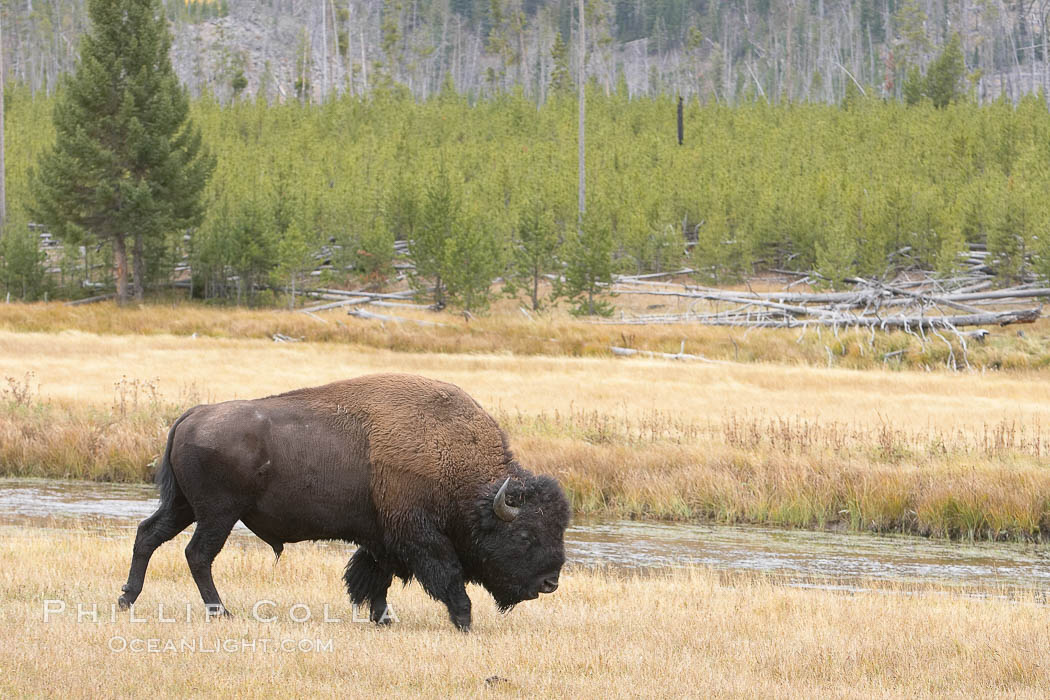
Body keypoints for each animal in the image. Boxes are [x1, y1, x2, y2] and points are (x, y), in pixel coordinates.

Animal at [118, 375, 571, 633]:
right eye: (525, 535)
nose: (550, 582)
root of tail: (193, 414)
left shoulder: (383, 537)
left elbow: (375, 577)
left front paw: (382, 618)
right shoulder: (419, 537)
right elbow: (447, 576)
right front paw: (464, 621)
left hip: (184, 507)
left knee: (148, 535)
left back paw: (127, 599)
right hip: (218, 514)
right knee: (198, 554)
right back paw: (220, 612)